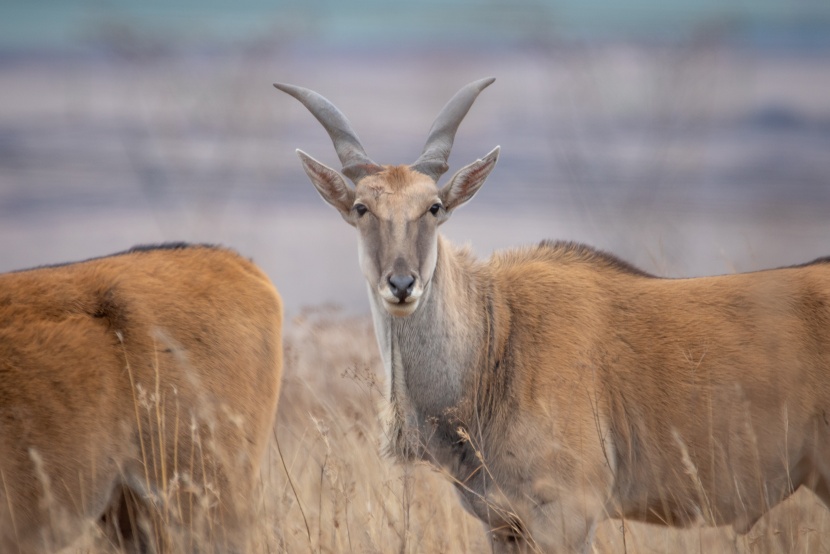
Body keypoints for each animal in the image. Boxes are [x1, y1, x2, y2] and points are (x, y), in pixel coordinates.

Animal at [278, 78, 830, 552]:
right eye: (361, 208)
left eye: (434, 207)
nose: (401, 284)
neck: (498, 338)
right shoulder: (503, 525)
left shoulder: (567, 515)